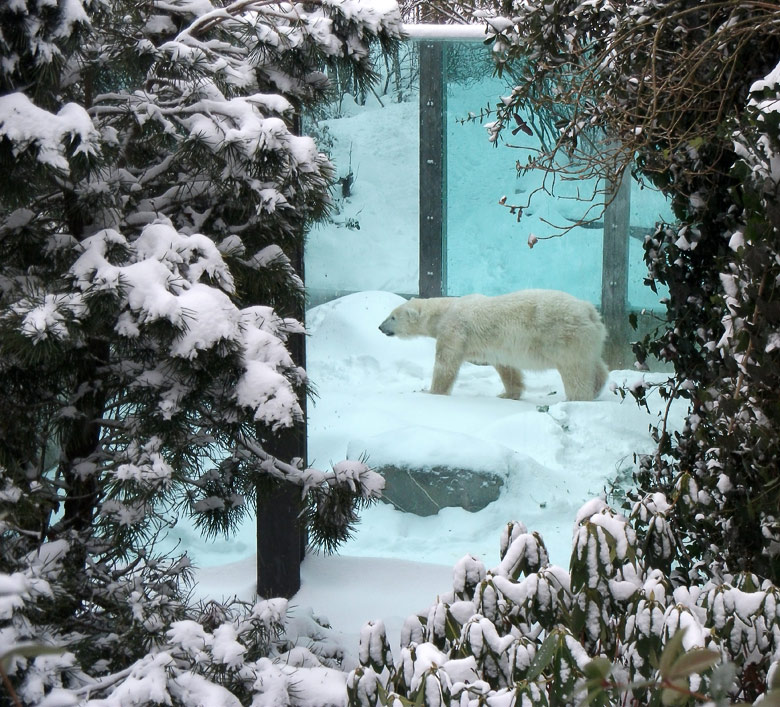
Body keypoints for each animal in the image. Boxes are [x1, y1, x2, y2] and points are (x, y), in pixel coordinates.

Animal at [378, 290, 608, 402]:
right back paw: (598, 387)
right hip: (588, 337)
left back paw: (576, 398)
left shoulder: (454, 329)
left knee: (574, 368)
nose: (380, 327)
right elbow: (507, 368)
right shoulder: (498, 346)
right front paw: (507, 394)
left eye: (393, 317)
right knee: (594, 363)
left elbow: (446, 362)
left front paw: (431, 392)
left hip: (564, 335)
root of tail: (589, 311)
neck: (444, 310)